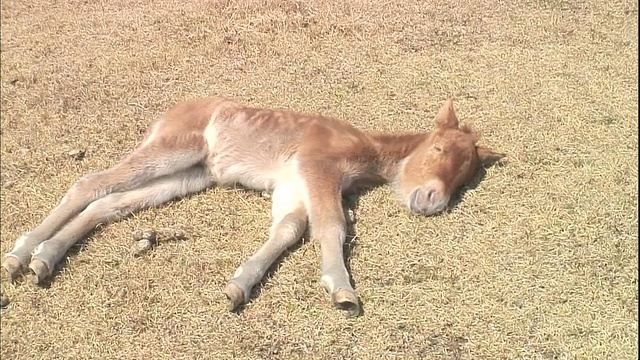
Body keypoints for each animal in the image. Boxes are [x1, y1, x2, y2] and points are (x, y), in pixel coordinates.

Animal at [3, 98, 504, 316]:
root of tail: (168, 113)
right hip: (174, 150)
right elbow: (331, 226)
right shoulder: (316, 165)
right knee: (91, 183)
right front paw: (342, 290)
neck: (365, 148)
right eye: (438, 149)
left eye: (466, 176)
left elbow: (289, 230)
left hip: (190, 174)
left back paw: (45, 259)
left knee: (111, 202)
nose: (433, 201)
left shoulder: (292, 185)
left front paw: (239, 286)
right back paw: (21, 254)